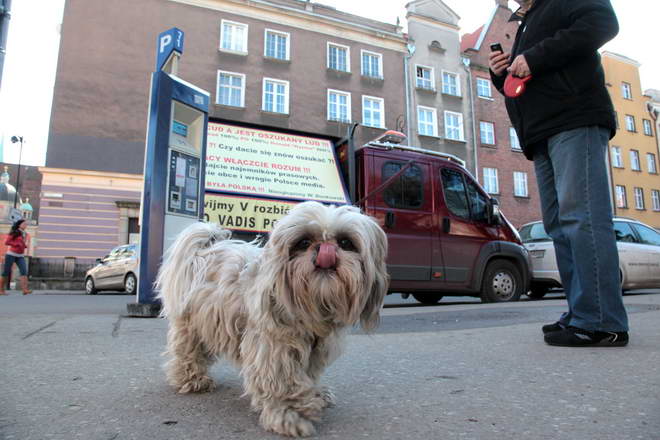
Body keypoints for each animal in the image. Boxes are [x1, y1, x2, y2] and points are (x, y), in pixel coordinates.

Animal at [157, 202, 390, 436]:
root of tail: (204, 250)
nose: (325, 252)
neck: (312, 308)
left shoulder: (313, 349)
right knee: (188, 352)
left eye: (345, 242)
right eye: (304, 242)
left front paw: (315, 394)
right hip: (193, 324)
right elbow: (282, 381)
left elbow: (307, 373)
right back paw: (192, 379)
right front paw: (291, 413)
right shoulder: (273, 345)